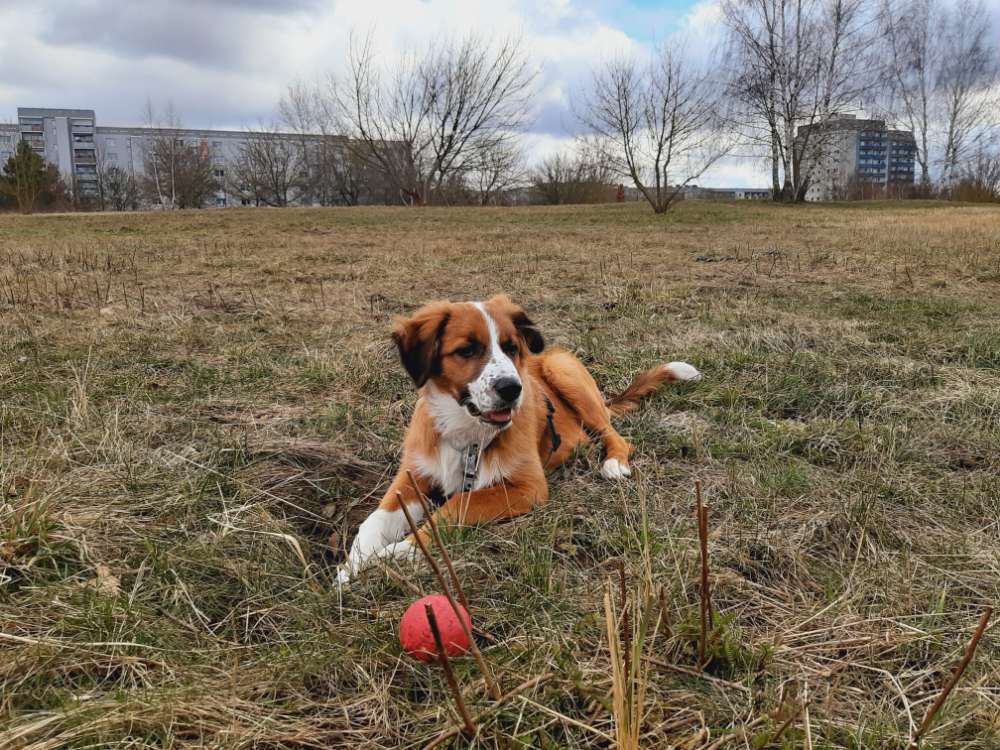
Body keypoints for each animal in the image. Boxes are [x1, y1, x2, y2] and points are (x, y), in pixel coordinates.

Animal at [340, 296, 700, 584]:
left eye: (511, 347)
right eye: (466, 350)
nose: (512, 389)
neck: (466, 432)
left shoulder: (528, 487)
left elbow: (457, 504)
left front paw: (397, 552)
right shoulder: (411, 477)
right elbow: (373, 520)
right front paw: (353, 563)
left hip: (563, 369)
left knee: (615, 435)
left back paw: (612, 462)